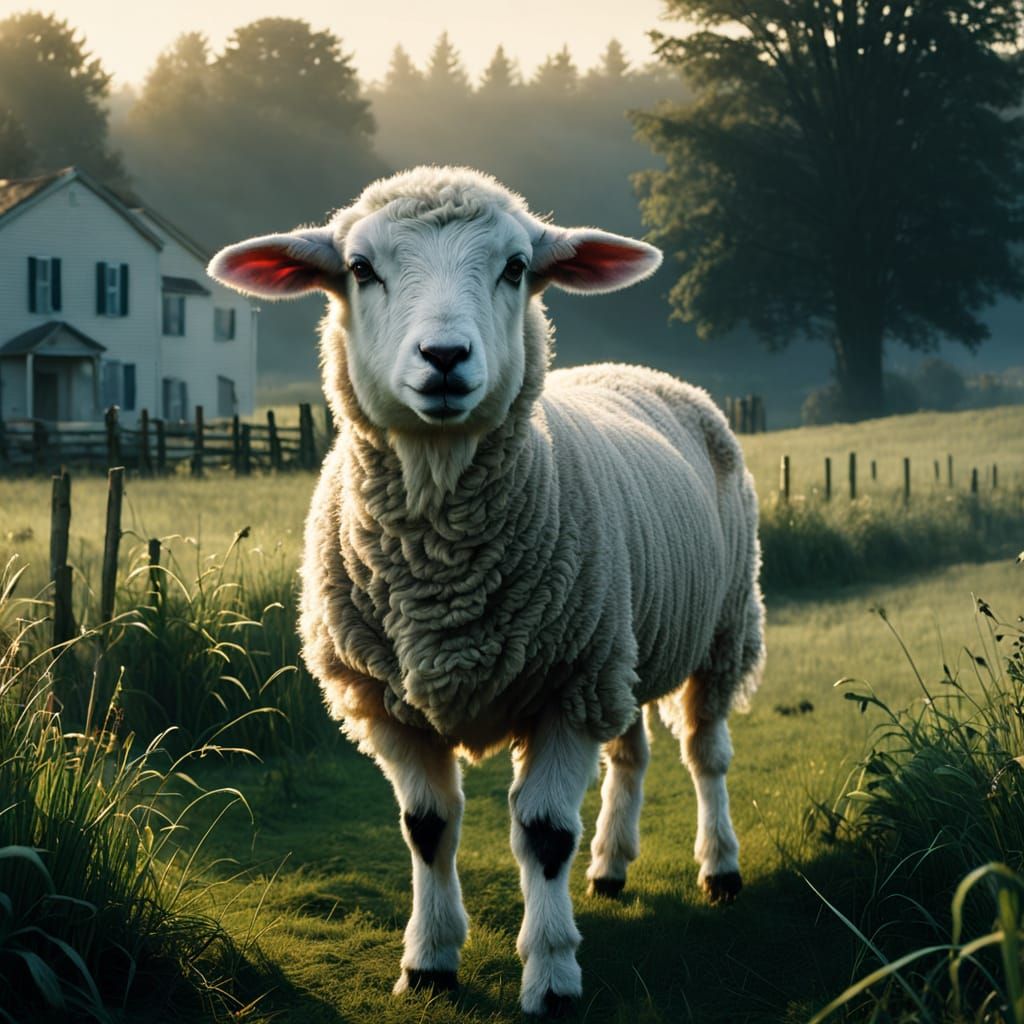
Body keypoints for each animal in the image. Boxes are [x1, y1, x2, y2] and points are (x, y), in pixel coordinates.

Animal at [208, 166, 765, 1018]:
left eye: (515, 267)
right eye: (360, 269)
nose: (444, 356)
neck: (440, 566)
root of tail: (631, 371)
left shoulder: (566, 690)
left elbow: (543, 836)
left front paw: (553, 975)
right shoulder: (387, 701)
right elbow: (427, 827)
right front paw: (429, 962)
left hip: (723, 627)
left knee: (706, 754)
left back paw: (720, 867)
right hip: (622, 644)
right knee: (630, 752)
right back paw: (610, 865)